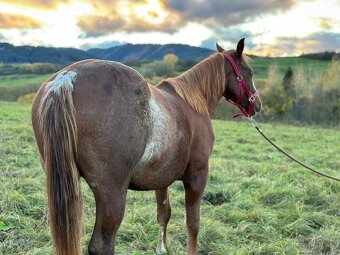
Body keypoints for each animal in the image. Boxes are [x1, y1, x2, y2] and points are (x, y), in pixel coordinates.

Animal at [30, 38, 262, 254]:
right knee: (102, 245)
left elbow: (164, 213)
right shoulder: (197, 176)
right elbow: (193, 223)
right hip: (111, 193)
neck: (192, 103)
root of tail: (67, 77)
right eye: (249, 72)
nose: (258, 105)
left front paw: (161, 248)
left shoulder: (161, 179)